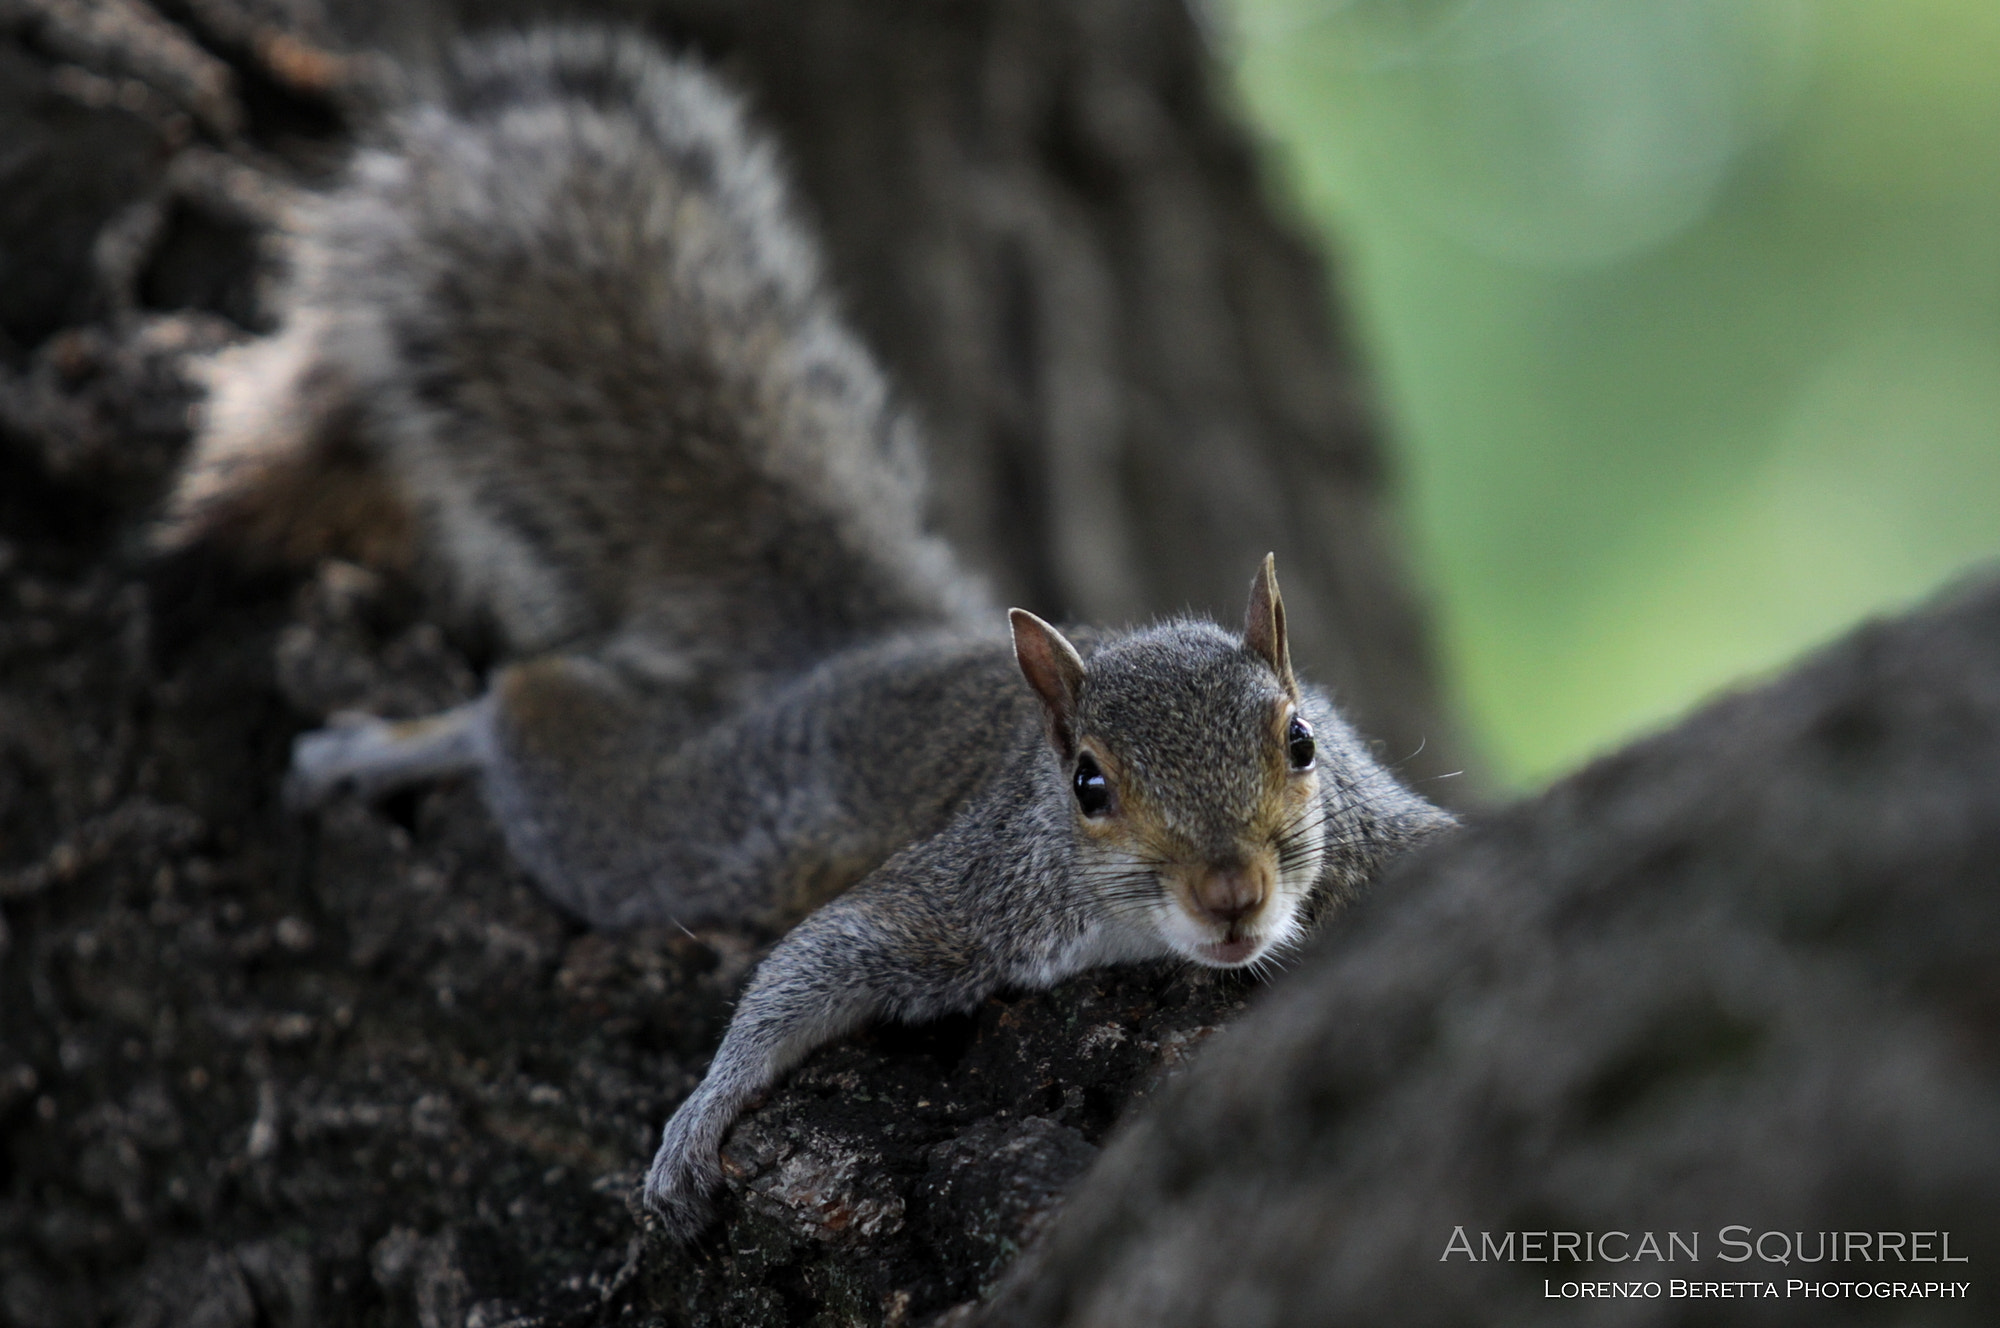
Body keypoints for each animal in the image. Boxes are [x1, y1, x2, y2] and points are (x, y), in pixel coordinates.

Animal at [159, 27, 1457, 1239]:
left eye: (1299, 742)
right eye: (1087, 784)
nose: (1230, 893)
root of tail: (865, 649)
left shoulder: (1368, 830)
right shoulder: (972, 891)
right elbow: (817, 958)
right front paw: (701, 1114)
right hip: (713, 815)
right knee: (534, 721)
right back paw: (385, 746)